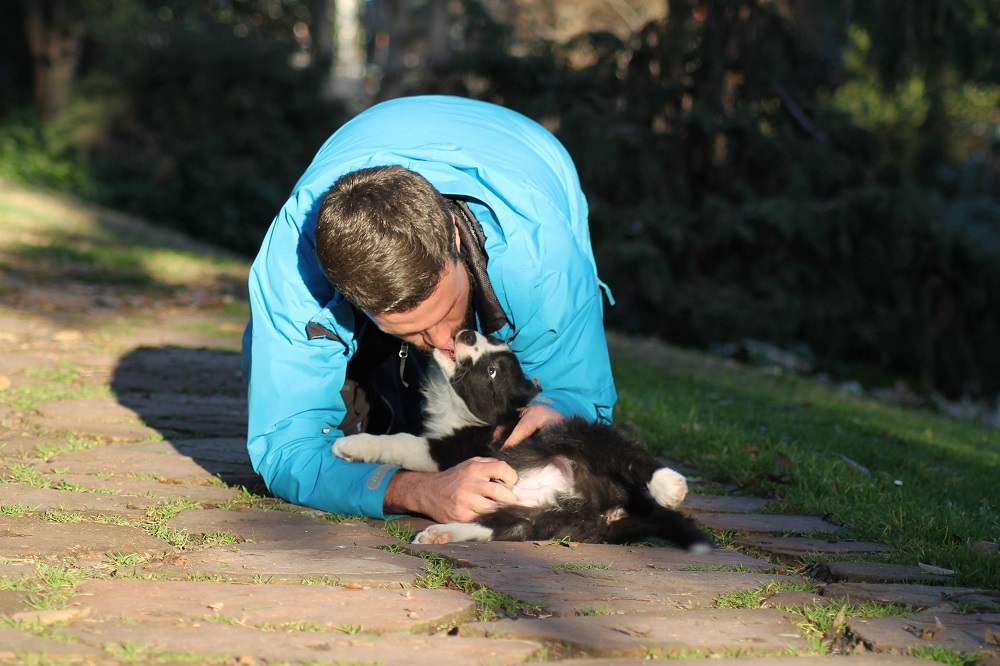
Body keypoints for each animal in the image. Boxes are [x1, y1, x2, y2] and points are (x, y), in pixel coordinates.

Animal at [333, 330, 713, 551]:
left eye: (492, 372)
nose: (466, 331)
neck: (460, 409)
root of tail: (615, 507)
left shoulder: (452, 449)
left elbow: (401, 441)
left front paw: (350, 446)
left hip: (579, 434)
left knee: (632, 457)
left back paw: (670, 485)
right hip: (540, 519)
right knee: (497, 530)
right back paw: (442, 534)